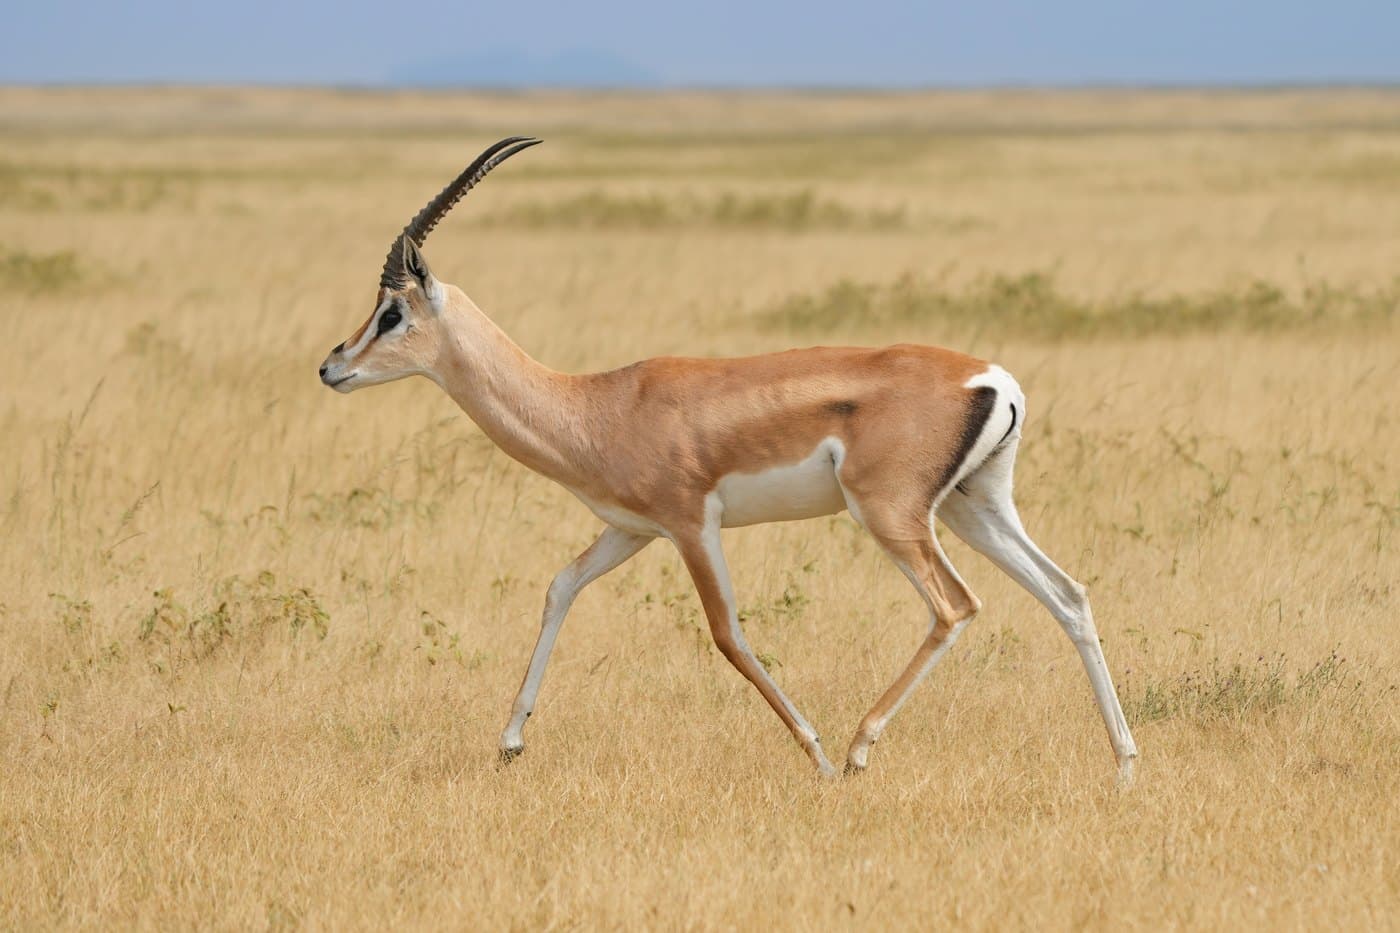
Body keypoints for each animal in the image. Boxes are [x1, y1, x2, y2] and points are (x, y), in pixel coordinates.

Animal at [319, 137, 1139, 781]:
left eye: (392, 311)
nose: (332, 367)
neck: (596, 405)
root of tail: (991, 379)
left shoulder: (689, 525)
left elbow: (726, 634)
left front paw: (814, 753)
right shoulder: (630, 529)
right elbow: (559, 588)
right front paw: (511, 741)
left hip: (892, 515)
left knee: (955, 605)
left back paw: (857, 749)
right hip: (976, 508)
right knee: (1067, 594)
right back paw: (1125, 761)